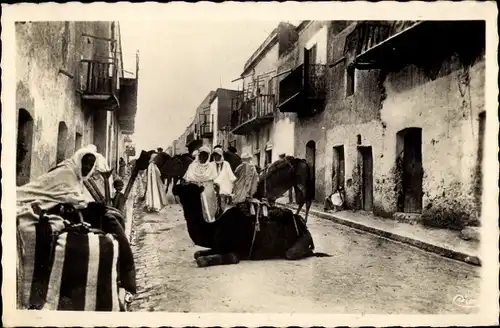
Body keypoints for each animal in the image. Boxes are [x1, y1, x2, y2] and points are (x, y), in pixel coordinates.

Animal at [174, 183, 330, 268]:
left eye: (186, 187)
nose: (175, 187)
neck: (213, 228)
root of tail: (304, 227)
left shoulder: (232, 250)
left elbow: (203, 259)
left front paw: (203, 260)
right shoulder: (217, 246)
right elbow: (197, 253)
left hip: (301, 242)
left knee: (293, 253)